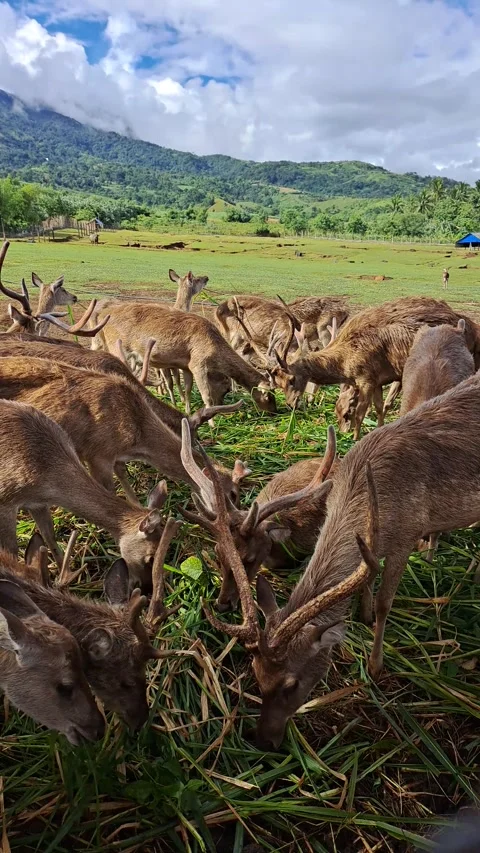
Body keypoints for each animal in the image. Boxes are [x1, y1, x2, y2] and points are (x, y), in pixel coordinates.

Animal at [90, 301, 276, 414]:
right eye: (269, 394)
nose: (275, 410)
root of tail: (102, 315)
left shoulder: (185, 366)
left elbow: (187, 390)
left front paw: (187, 410)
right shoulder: (197, 362)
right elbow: (205, 394)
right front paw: (211, 423)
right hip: (117, 348)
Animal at [268, 296, 480, 439]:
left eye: (291, 379)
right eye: (278, 383)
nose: (291, 404)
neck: (344, 362)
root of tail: (471, 326)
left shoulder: (366, 378)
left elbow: (362, 411)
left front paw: (355, 437)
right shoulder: (378, 380)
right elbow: (378, 407)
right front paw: (378, 428)